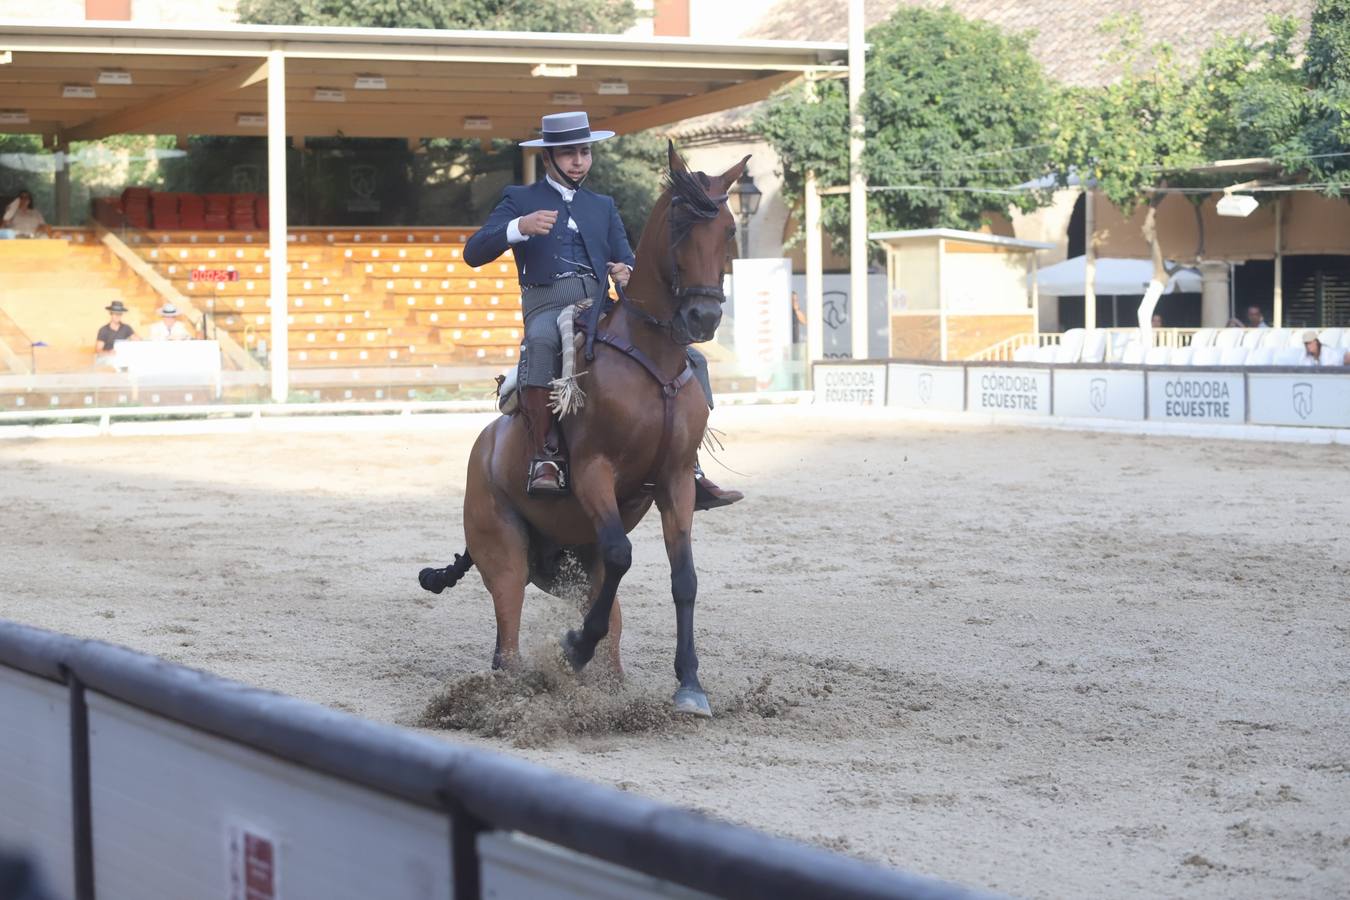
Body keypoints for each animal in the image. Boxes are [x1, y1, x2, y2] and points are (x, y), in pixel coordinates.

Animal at [421, 142, 750, 717]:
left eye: (729, 229)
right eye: (680, 224)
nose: (703, 316)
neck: (652, 360)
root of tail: (484, 448)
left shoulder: (675, 481)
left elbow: (683, 576)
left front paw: (690, 683)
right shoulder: (597, 470)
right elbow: (622, 554)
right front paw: (574, 647)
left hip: (564, 563)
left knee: (606, 614)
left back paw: (607, 688)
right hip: (503, 553)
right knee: (507, 639)